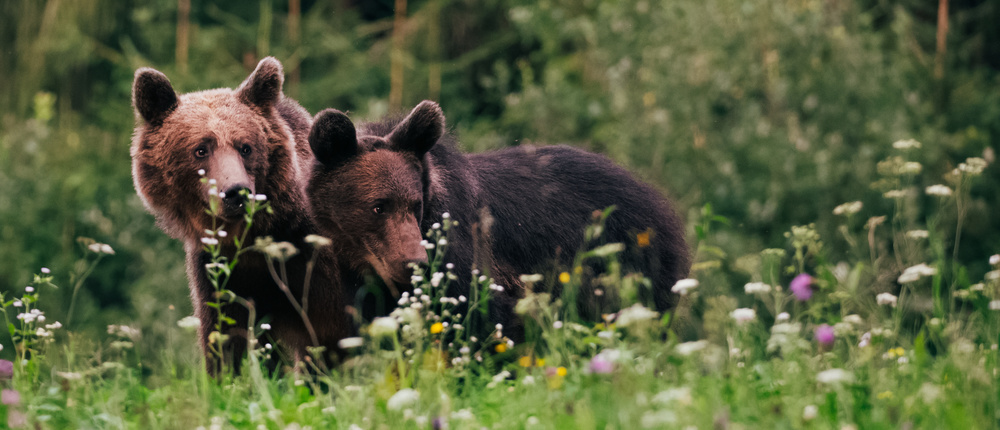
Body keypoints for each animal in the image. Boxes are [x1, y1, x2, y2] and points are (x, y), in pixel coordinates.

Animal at [131, 56, 352, 372]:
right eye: (201, 149)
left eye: (245, 147)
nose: (236, 192)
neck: (253, 238)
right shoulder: (219, 272)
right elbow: (225, 339)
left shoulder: (318, 267)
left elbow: (326, 338)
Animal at [304, 101, 692, 336]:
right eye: (378, 206)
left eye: (414, 205)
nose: (414, 261)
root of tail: (654, 194)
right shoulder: (361, 281)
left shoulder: (465, 255)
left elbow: (483, 316)